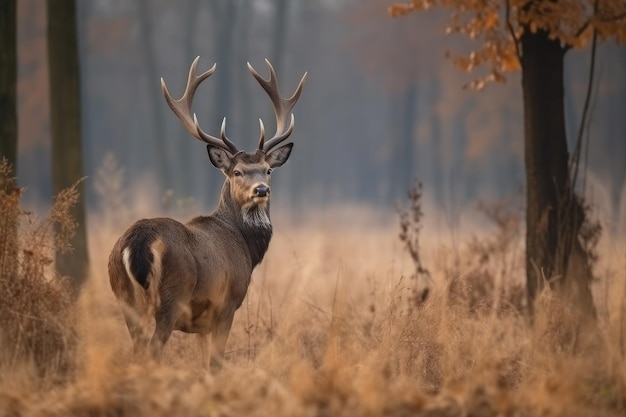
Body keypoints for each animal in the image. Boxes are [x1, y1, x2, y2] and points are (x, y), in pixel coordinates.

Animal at [108, 56, 306, 370]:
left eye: (268, 170)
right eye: (237, 172)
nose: (261, 190)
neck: (245, 247)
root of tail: (136, 242)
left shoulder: (200, 325)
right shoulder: (227, 304)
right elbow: (216, 363)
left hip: (124, 298)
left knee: (136, 351)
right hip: (170, 297)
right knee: (153, 350)